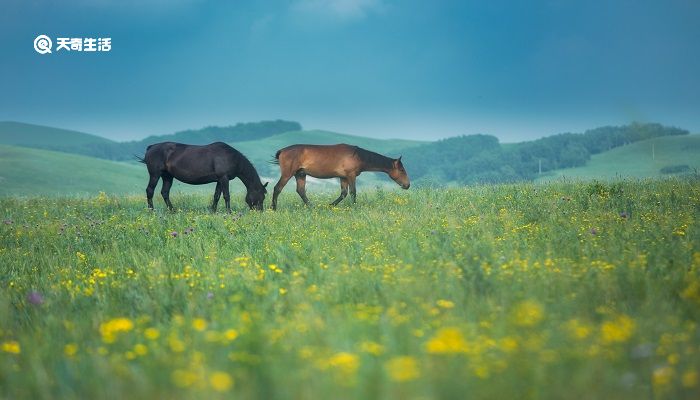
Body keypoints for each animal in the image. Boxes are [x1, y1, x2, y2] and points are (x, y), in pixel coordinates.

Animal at [270, 145, 410, 212]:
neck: (357, 156)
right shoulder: (351, 176)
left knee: (301, 191)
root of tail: (282, 151)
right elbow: (353, 192)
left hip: (300, 174)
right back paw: (273, 208)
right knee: (277, 188)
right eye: (402, 170)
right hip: (288, 174)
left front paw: (330, 206)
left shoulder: (343, 178)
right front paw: (354, 207)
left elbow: (343, 193)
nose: (408, 185)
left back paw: (312, 207)